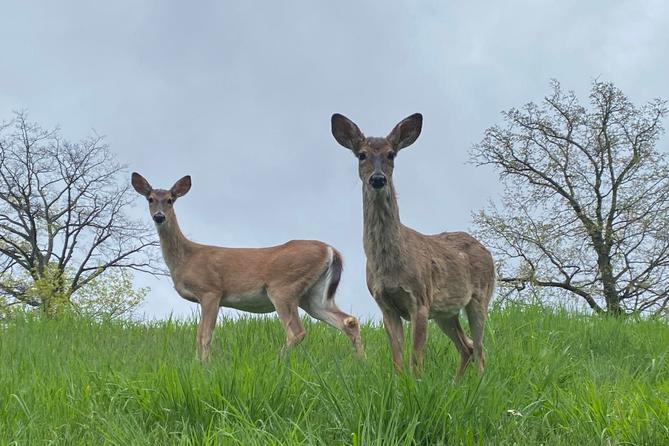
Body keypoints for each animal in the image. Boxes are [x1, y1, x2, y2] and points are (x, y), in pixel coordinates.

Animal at [129, 172, 362, 360]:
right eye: (150, 199)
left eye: (170, 200)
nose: (159, 216)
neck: (186, 257)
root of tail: (331, 250)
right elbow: (199, 335)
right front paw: (198, 364)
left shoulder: (211, 291)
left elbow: (205, 335)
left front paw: (204, 366)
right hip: (313, 295)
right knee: (348, 321)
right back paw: (362, 362)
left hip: (283, 287)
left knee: (297, 331)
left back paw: (276, 362)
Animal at [330, 112, 494, 376]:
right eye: (362, 154)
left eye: (391, 154)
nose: (378, 179)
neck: (389, 265)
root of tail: (486, 250)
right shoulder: (385, 305)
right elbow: (397, 358)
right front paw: (399, 382)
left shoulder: (420, 299)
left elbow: (416, 359)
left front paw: (416, 383)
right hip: (446, 311)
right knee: (466, 347)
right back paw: (457, 382)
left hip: (479, 297)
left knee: (479, 348)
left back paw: (479, 381)